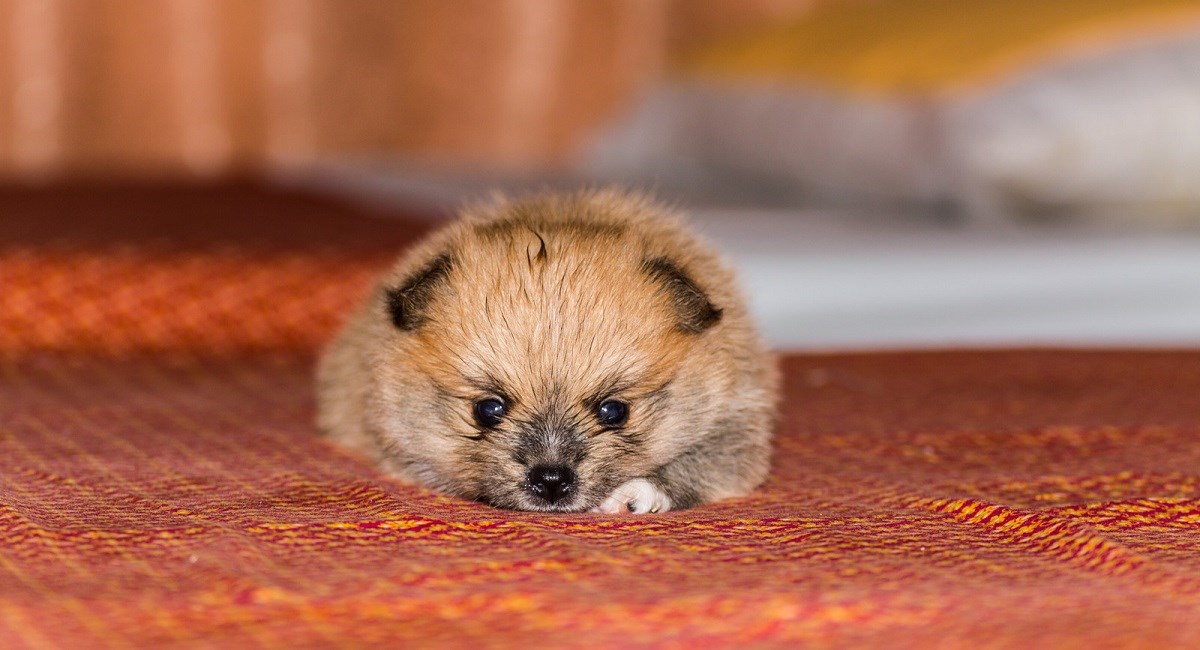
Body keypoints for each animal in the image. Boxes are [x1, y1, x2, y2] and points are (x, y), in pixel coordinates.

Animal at [314, 190, 777, 518]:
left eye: (614, 411)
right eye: (488, 409)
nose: (551, 479)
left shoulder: (736, 420)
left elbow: (695, 463)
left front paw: (637, 493)